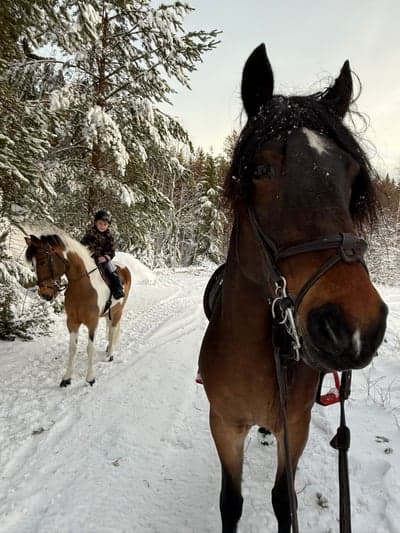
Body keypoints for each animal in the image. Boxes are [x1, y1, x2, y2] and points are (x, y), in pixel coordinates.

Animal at [25, 231, 131, 384]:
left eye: (42, 261)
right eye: (33, 265)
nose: (45, 294)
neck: (82, 286)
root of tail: (123, 267)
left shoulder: (92, 323)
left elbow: (90, 348)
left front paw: (90, 378)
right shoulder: (72, 322)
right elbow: (72, 348)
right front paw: (67, 378)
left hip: (118, 312)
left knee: (112, 331)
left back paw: (110, 354)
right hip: (108, 313)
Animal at [199, 43, 388, 528]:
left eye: (352, 177)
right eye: (261, 169)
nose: (354, 326)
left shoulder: (295, 427)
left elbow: (285, 500)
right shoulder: (223, 425)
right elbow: (230, 502)